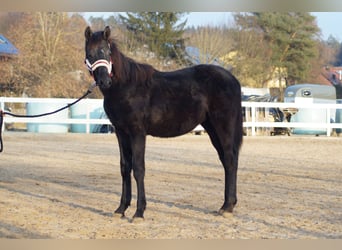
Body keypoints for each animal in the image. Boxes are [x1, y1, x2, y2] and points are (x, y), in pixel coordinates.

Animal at [84, 26, 242, 220]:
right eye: (90, 54)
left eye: (107, 52)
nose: (104, 81)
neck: (126, 87)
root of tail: (232, 79)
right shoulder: (121, 132)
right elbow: (124, 167)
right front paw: (121, 209)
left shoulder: (137, 132)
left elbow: (138, 168)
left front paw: (139, 212)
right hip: (212, 128)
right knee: (226, 161)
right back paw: (226, 205)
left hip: (223, 127)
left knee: (230, 159)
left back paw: (227, 207)